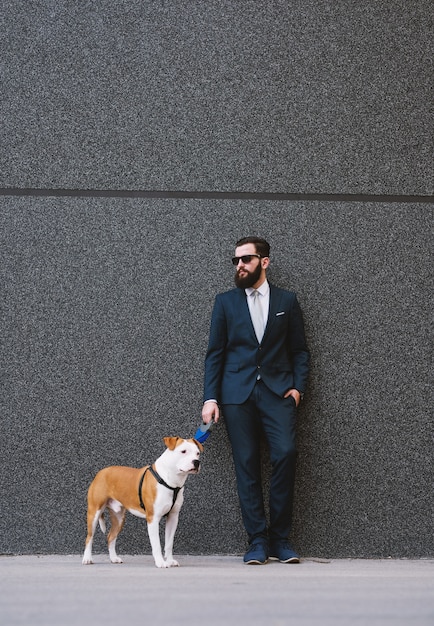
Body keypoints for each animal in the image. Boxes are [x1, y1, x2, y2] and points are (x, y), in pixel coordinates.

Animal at [82, 436, 203, 568]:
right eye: (183, 451)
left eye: (197, 453)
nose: (196, 462)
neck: (169, 479)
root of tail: (101, 472)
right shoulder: (153, 518)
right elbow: (157, 544)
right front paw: (161, 562)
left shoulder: (173, 517)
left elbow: (169, 543)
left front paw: (170, 560)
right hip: (94, 512)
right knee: (89, 537)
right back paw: (87, 559)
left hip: (119, 518)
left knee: (111, 537)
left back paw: (114, 558)